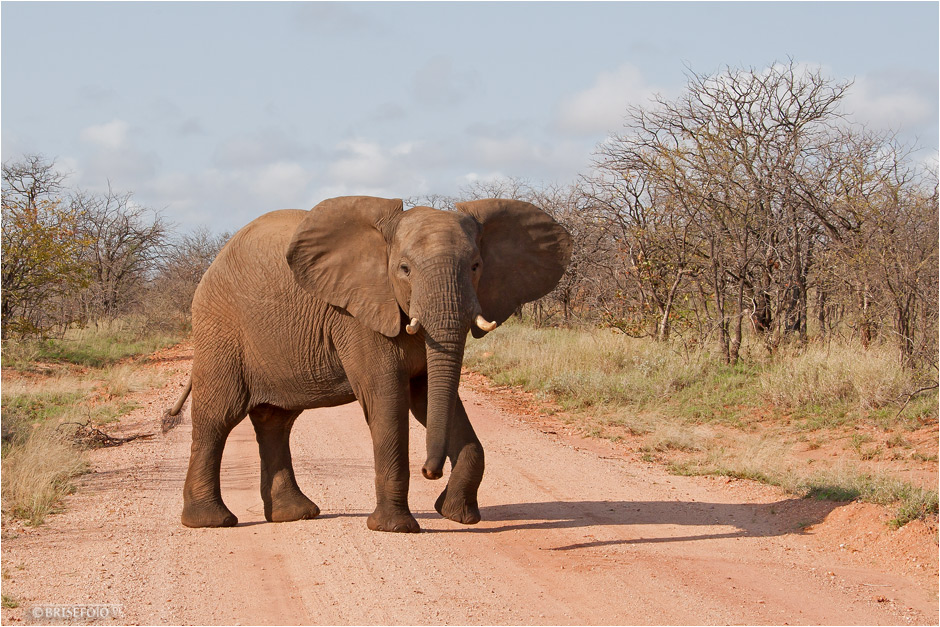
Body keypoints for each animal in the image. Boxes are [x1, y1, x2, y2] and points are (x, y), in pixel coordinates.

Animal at [165, 194, 568, 532]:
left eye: (475, 265)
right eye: (404, 269)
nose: (430, 471)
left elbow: (430, 400)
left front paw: (457, 516)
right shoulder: (359, 316)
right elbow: (388, 400)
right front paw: (396, 528)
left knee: (275, 421)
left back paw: (294, 514)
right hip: (221, 328)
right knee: (218, 416)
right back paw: (210, 522)